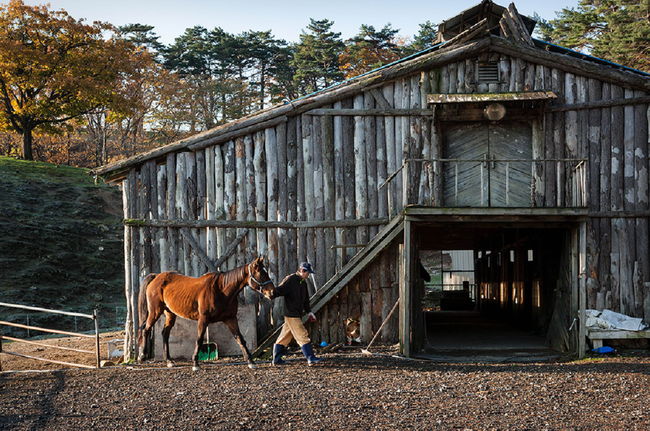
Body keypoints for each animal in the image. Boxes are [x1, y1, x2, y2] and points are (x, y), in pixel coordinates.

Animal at [137, 256, 274, 372]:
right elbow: (199, 339)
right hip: (155, 312)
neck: (221, 289)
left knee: (165, 333)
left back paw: (169, 361)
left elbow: (240, 339)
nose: (272, 292)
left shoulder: (230, 319)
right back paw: (142, 356)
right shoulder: (203, 319)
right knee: (146, 329)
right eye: (261, 274)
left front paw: (251, 362)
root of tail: (156, 276)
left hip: (170, 314)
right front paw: (195, 363)